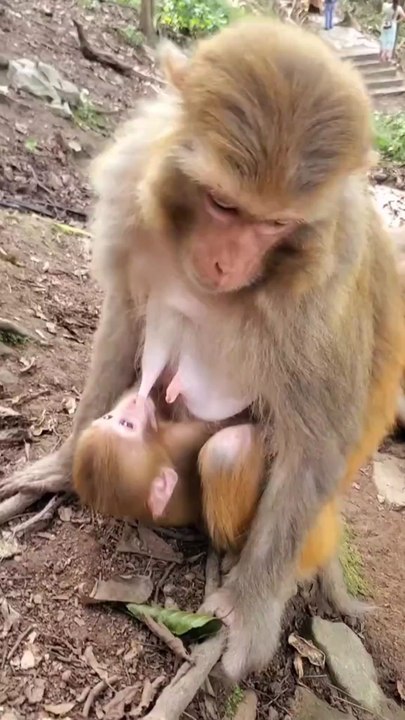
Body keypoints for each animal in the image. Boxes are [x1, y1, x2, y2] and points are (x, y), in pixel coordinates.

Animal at [2, 18, 404, 682]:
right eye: (224, 204)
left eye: (276, 225)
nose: (227, 264)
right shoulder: (132, 188)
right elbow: (125, 320)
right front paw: (61, 463)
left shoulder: (323, 291)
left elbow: (319, 440)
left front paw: (250, 609)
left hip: (312, 527)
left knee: (230, 452)